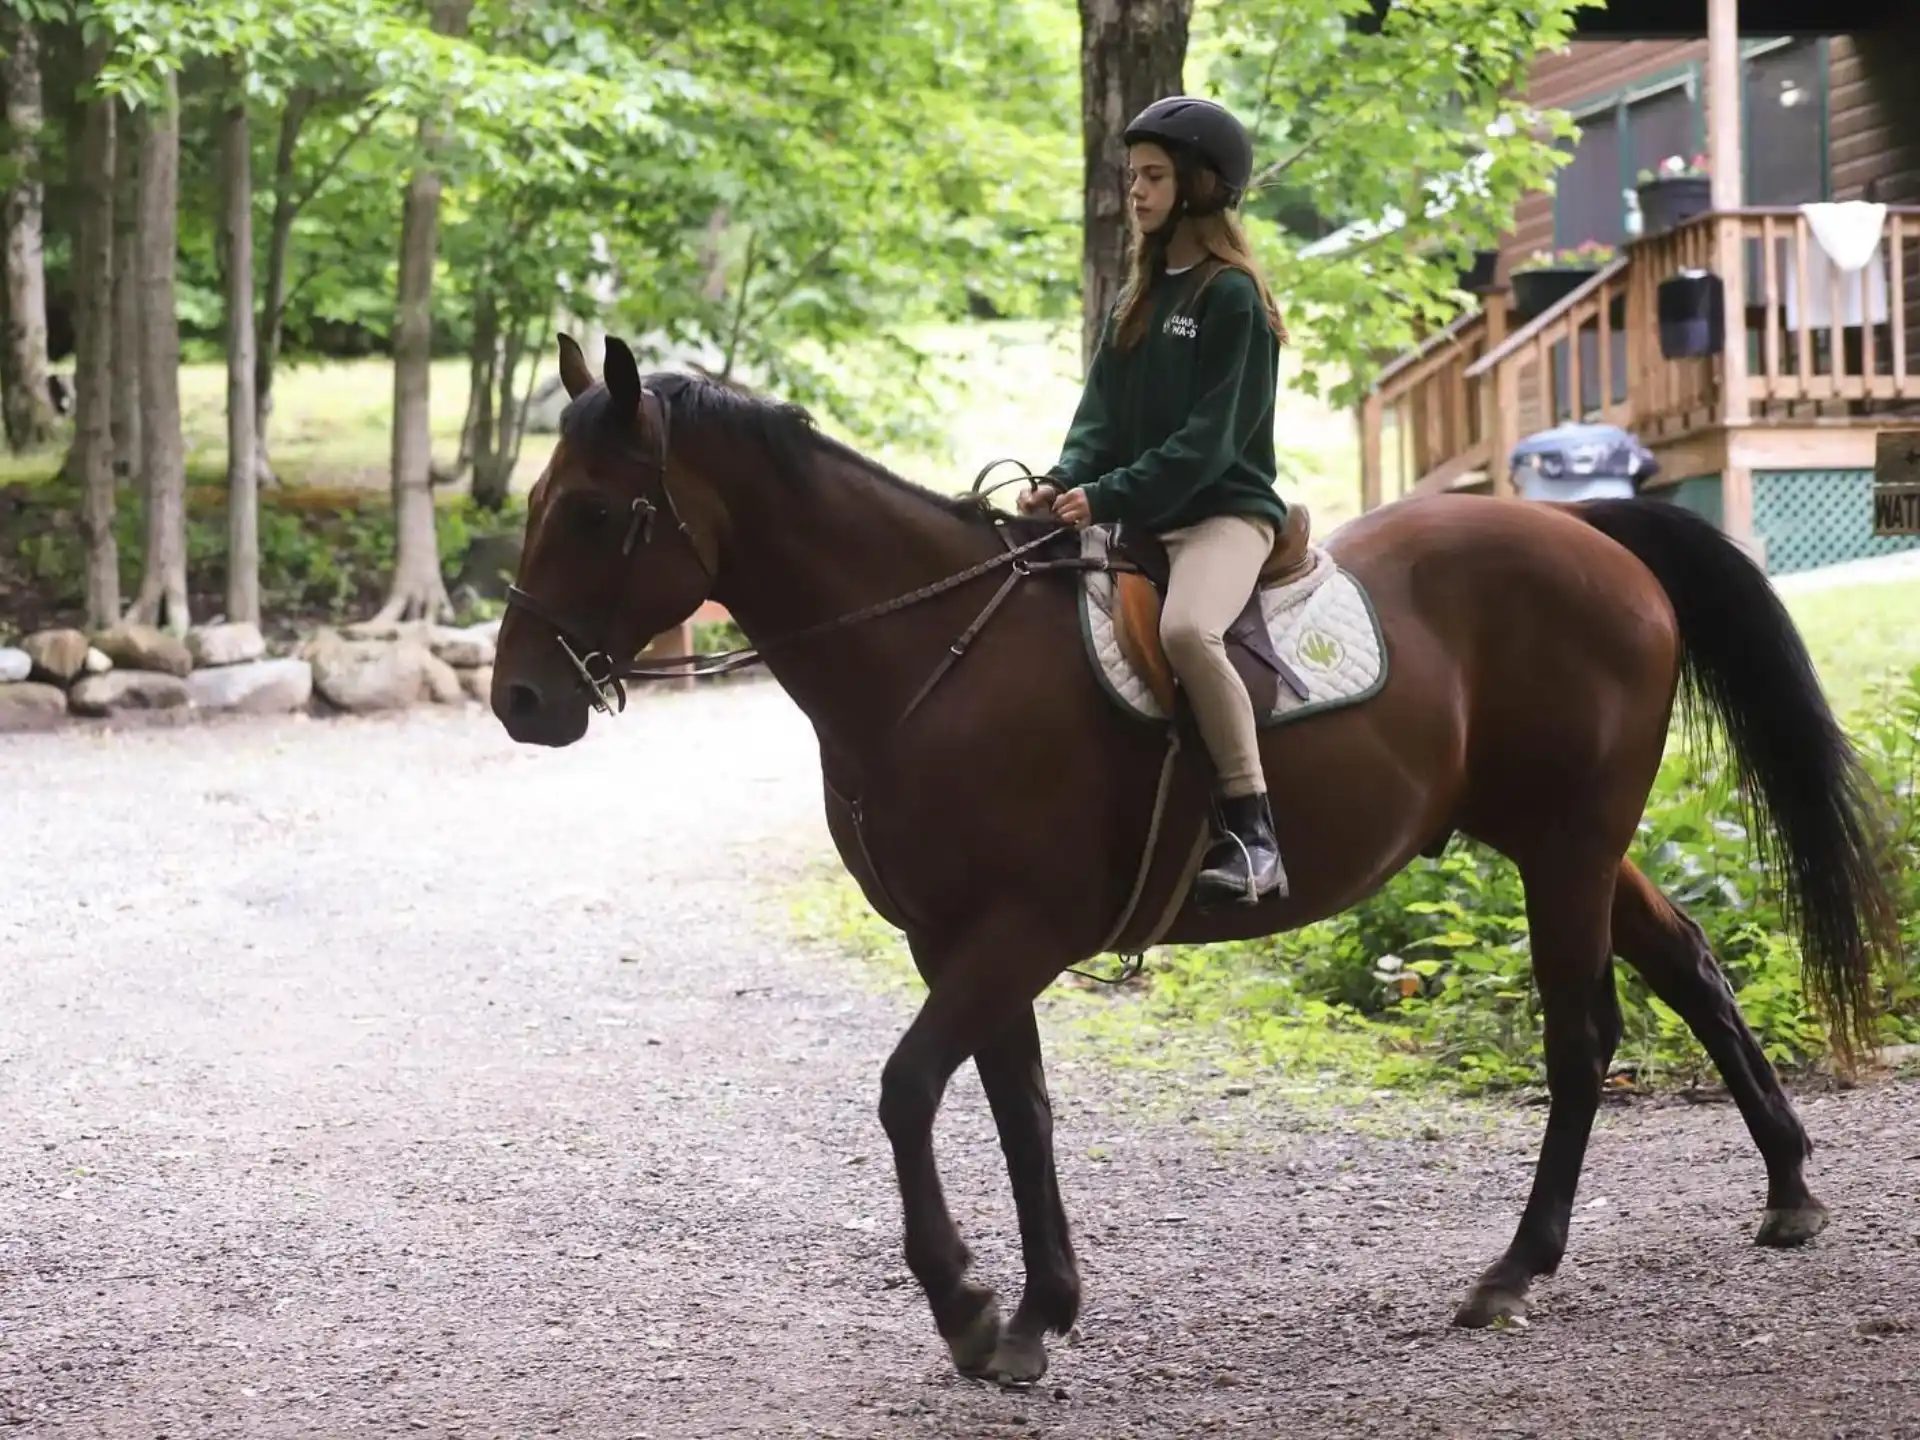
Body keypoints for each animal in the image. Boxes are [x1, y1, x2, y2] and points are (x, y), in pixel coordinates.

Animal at [489, 333, 1900, 1386]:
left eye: (600, 513)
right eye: (539, 506)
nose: (519, 702)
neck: (936, 654)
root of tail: (1600, 537)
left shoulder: (1015, 935)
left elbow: (906, 1092)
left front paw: (965, 1305)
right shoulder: (960, 944)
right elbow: (1019, 1112)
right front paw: (1039, 1312)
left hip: (1563, 845)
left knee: (1583, 1032)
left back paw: (1516, 1270)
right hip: (1571, 841)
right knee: (1689, 963)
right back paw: (1788, 1187)